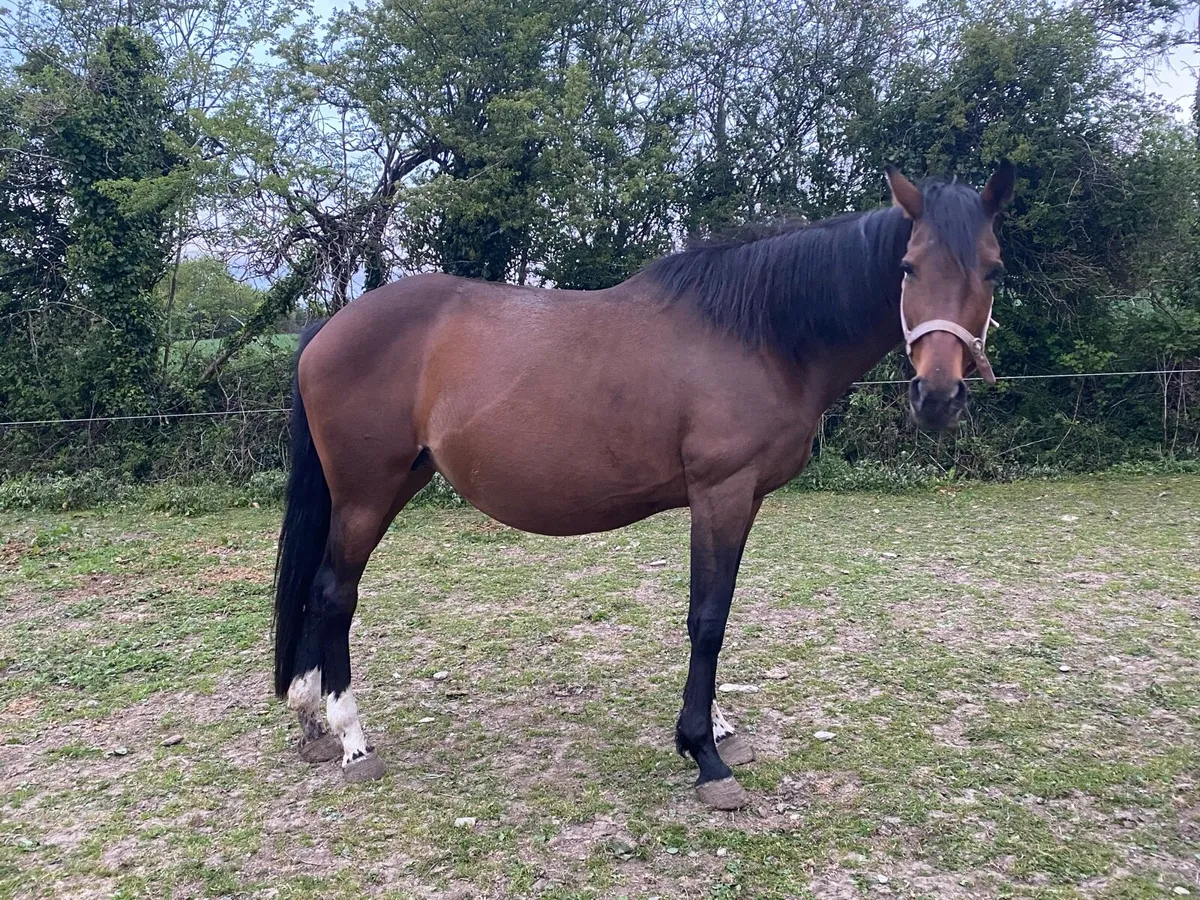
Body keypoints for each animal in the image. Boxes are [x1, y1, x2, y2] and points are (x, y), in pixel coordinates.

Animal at [272, 163, 1015, 810]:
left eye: (993, 268)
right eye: (908, 267)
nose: (939, 396)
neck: (759, 334)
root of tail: (330, 325)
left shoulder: (740, 498)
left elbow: (715, 610)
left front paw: (718, 729)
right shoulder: (722, 491)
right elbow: (708, 617)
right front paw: (705, 755)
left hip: (391, 484)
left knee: (317, 589)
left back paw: (312, 721)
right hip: (367, 493)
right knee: (335, 593)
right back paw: (353, 740)